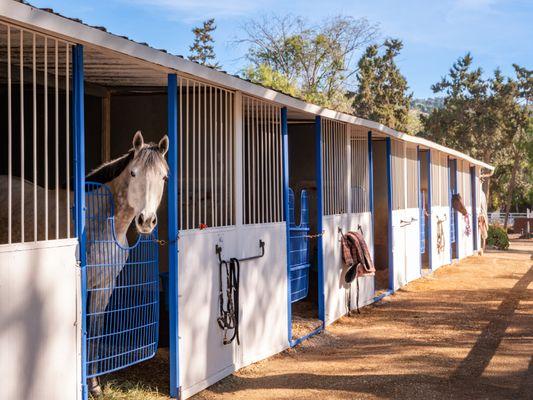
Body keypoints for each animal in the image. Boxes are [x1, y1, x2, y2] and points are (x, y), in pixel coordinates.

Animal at [0, 131, 168, 396]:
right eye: (133, 173)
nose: (146, 221)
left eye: (163, 177)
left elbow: (96, 332)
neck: (101, 221)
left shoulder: (105, 285)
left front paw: (95, 386)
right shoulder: (81, 283)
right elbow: (82, 332)